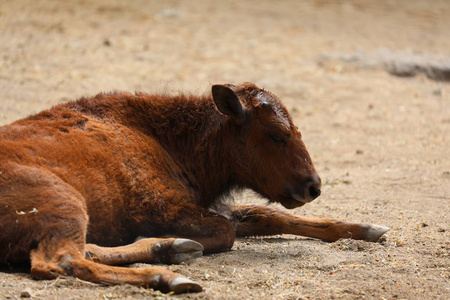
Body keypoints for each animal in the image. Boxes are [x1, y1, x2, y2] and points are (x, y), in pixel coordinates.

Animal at [0, 82, 386, 292]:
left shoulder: (209, 206)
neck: (164, 137)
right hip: (66, 202)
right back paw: (169, 274)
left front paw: (367, 228)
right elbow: (227, 231)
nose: (313, 186)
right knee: (61, 261)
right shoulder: (166, 208)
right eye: (278, 134)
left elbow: (267, 215)